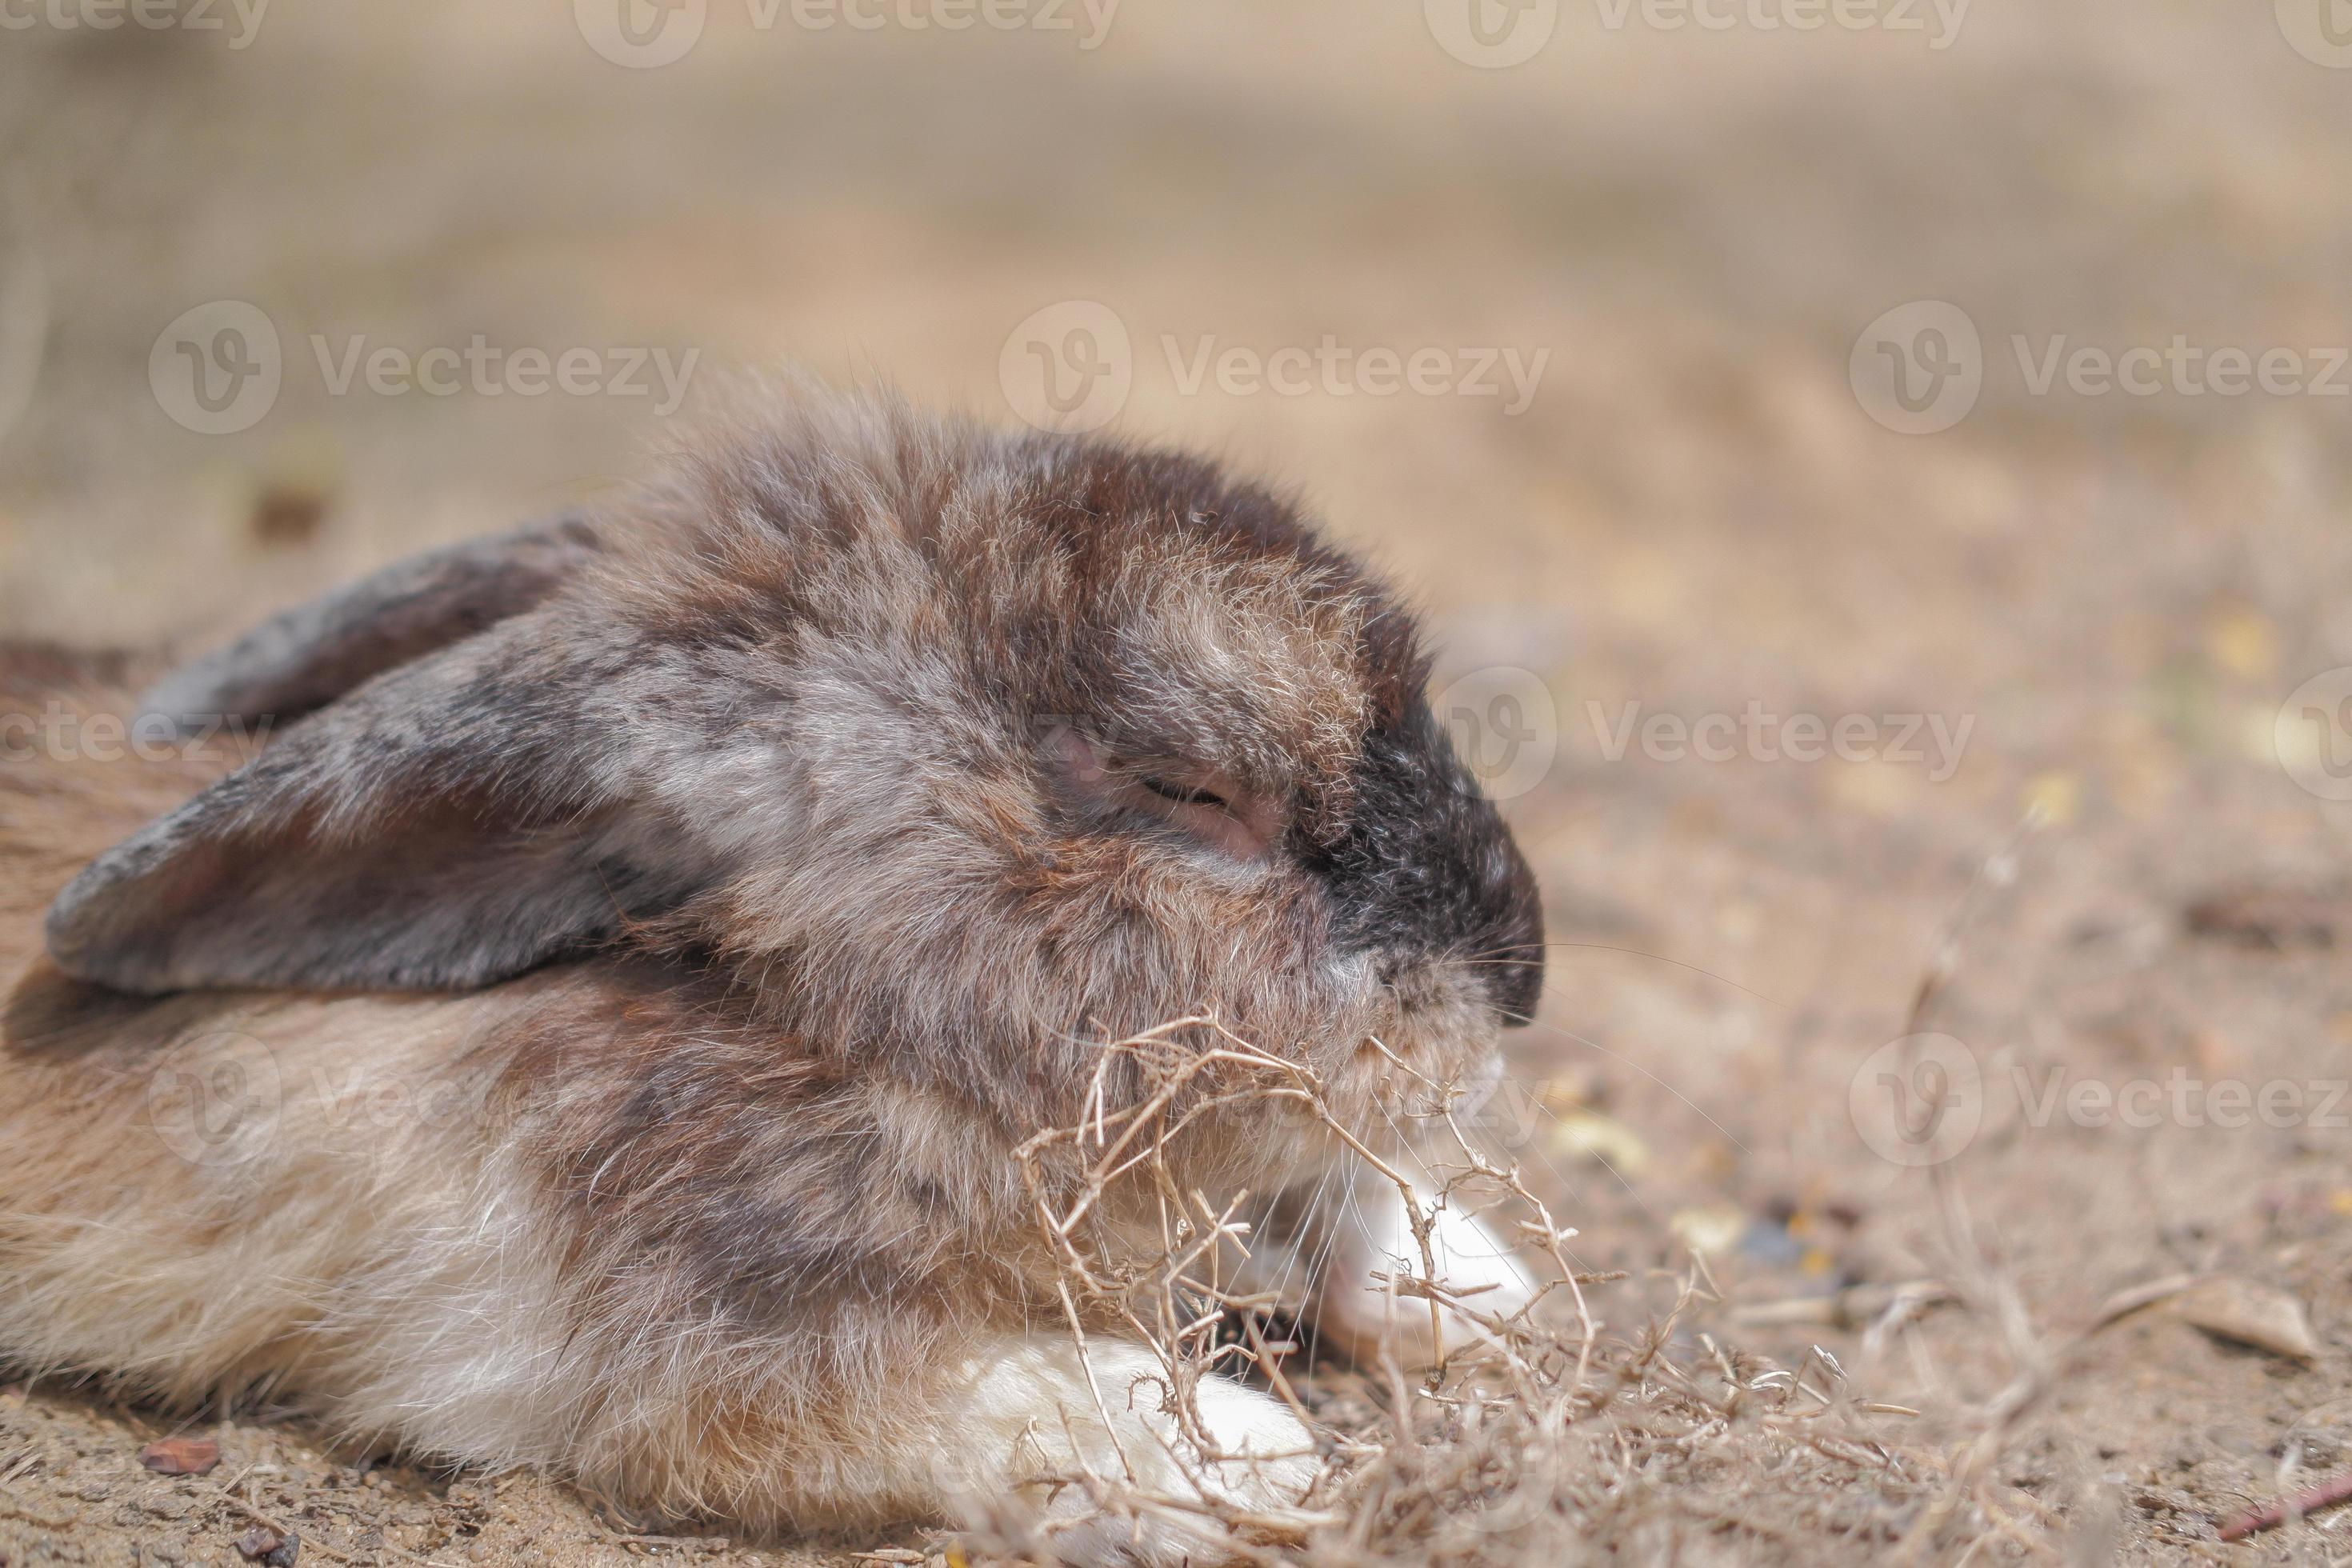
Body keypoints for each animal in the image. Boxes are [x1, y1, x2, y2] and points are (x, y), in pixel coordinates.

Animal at [0, 385, 1552, 1561]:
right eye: (1187, 789)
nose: (1521, 973)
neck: (804, 1022)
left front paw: (1477, 1292)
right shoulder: (682, 1363)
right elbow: (993, 1389)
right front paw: (1254, 1457)